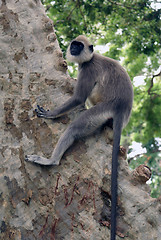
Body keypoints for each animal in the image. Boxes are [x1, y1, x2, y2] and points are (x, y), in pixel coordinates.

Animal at [25, 34, 133, 240]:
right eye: (74, 44)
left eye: (79, 46)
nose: (73, 49)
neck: (90, 58)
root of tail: (122, 109)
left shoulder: (88, 69)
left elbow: (78, 99)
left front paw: (51, 114)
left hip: (101, 110)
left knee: (74, 127)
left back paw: (50, 161)